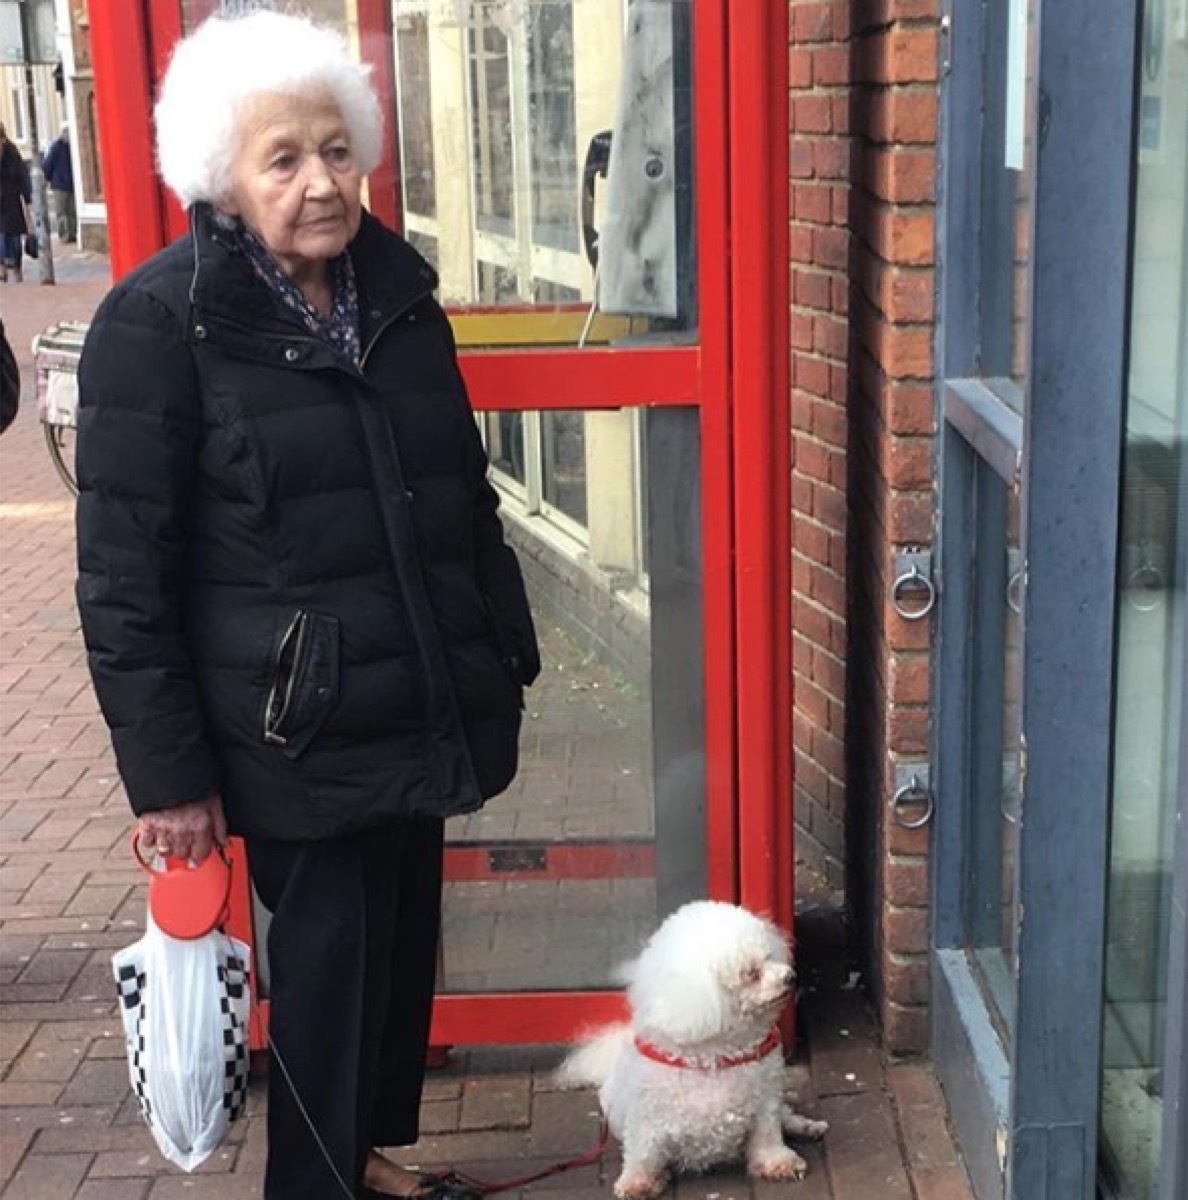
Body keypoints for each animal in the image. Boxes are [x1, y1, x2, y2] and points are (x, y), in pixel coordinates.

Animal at [559, 902, 825, 1190]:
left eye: (769, 956)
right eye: (751, 973)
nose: (790, 976)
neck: (715, 1057)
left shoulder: (763, 1104)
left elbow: (768, 1136)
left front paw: (779, 1162)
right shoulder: (646, 1117)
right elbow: (642, 1150)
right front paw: (636, 1181)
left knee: (786, 1115)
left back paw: (808, 1127)